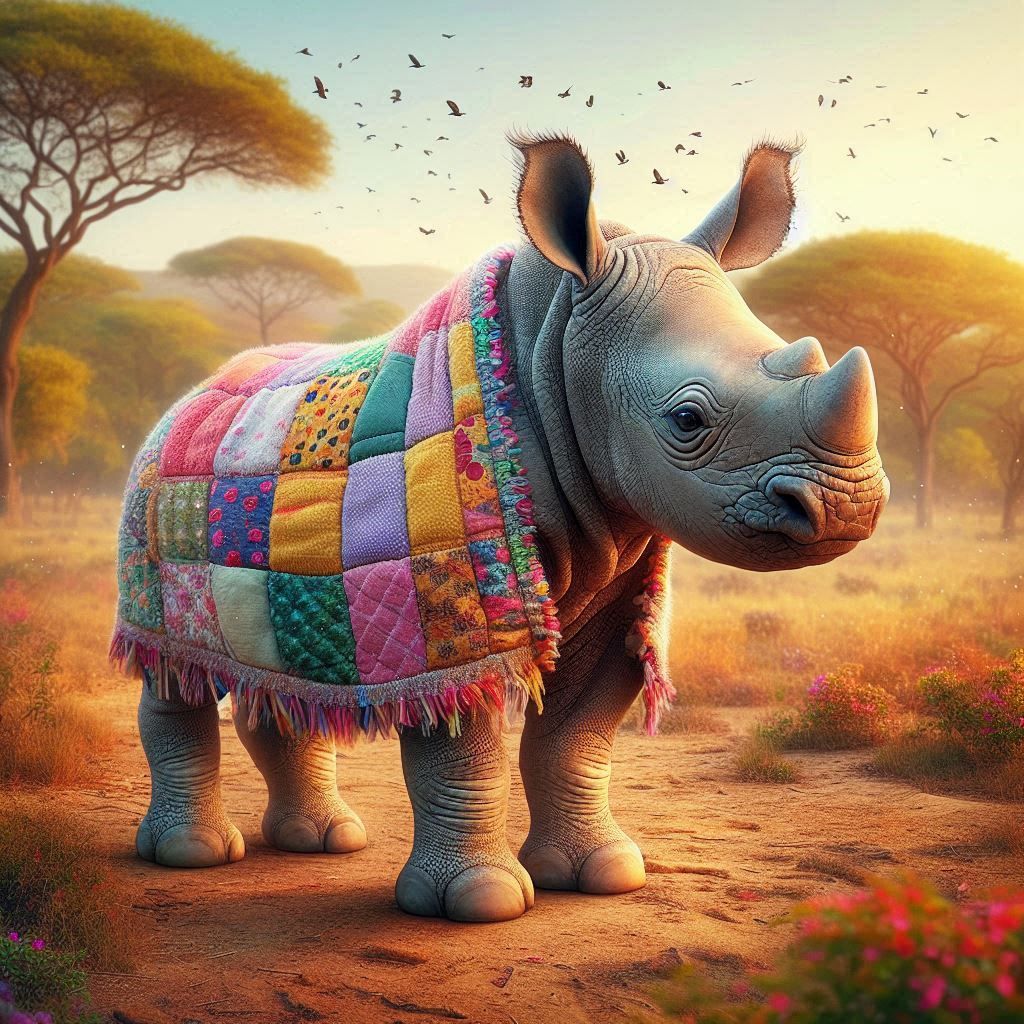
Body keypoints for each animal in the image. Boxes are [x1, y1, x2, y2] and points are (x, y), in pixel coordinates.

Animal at [111, 132, 889, 924]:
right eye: (687, 418)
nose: (848, 506)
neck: (559, 349)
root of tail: (187, 397)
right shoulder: (447, 609)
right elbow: (465, 747)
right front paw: (480, 902)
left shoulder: (616, 579)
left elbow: (577, 732)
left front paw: (601, 874)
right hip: (151, 515)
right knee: (170, 666)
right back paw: (193, 854)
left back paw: (324, 841)